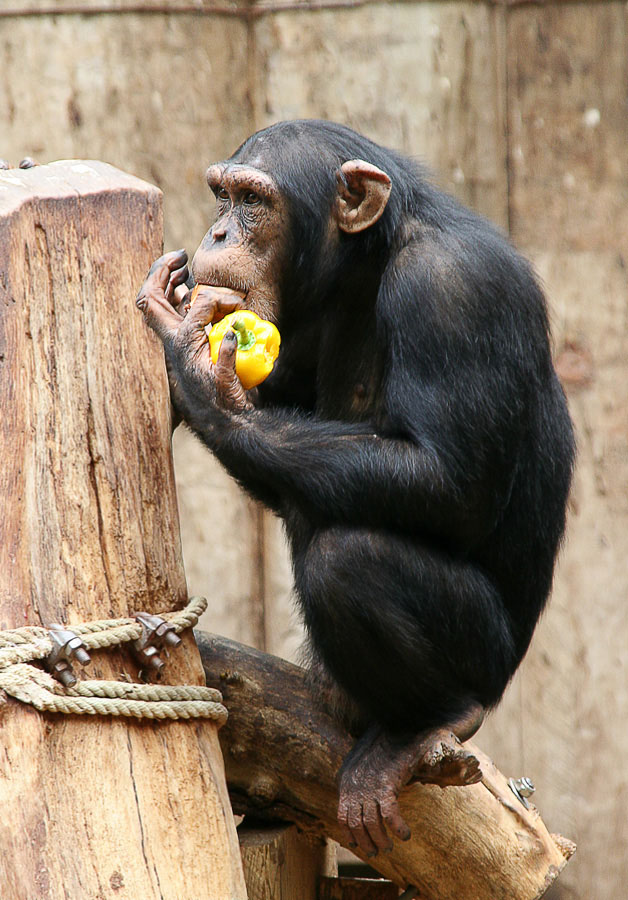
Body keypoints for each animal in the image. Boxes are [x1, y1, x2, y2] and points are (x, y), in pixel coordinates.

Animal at [136, 121, 576, 856]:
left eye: (252, 201)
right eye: (222, 194)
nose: (218, 232)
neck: (366, 266)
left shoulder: (455, 289)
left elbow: (449, 480)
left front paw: (196, 368)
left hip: (489, 659)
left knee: (350, 558)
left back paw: (425, 727)